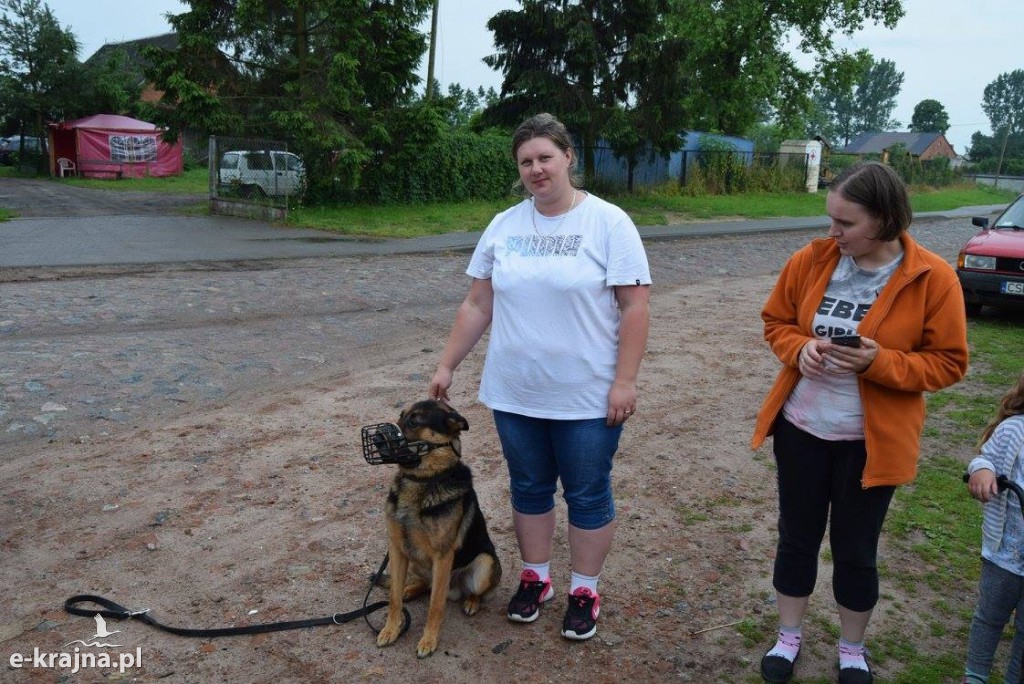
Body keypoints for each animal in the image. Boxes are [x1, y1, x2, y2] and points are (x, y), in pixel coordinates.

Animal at [376, 401, 503, 655]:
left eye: (415, 420)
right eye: (401, 415)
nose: (376, 437)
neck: (421, 480)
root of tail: (455, 590)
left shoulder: (442, 556)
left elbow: (435, 605)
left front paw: (428, 640)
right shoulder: (397, 549)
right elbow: (394, 598)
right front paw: (391, 629)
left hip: (484, 563)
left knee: (474, 591)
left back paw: (471, 602)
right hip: (414, 560)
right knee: (424, 584)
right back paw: (410, 589)